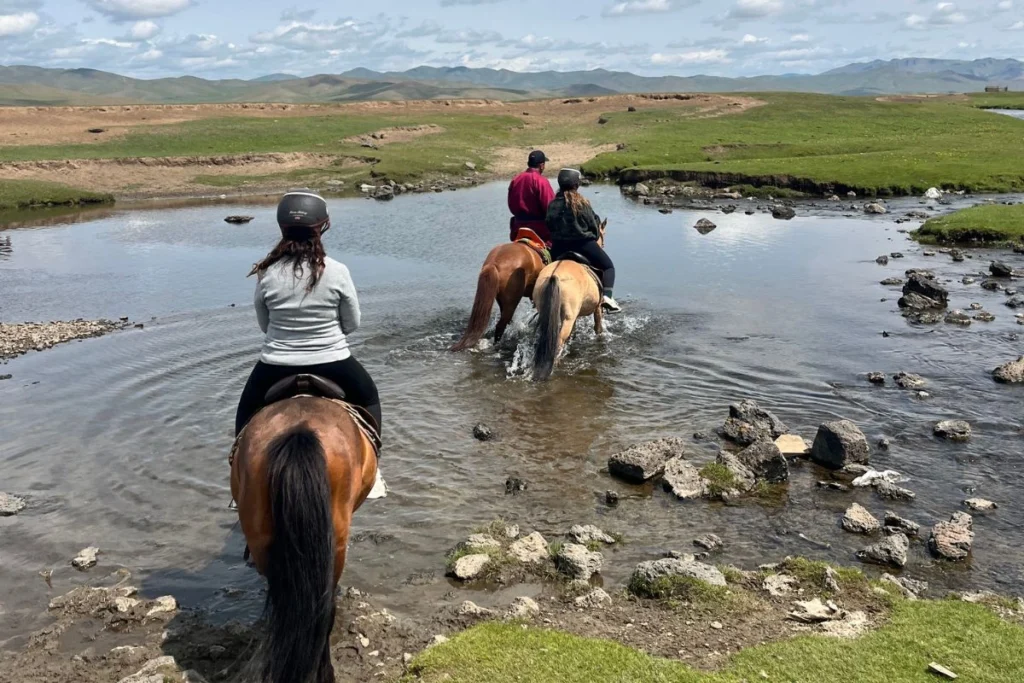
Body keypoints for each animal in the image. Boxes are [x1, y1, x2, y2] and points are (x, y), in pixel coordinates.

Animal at [531, 220, 608, 382]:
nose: (602, 245)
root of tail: (554, 276)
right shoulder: (597, 308)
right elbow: (598, 328)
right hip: (568, 318)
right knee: (558, 342)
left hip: (548, 314)